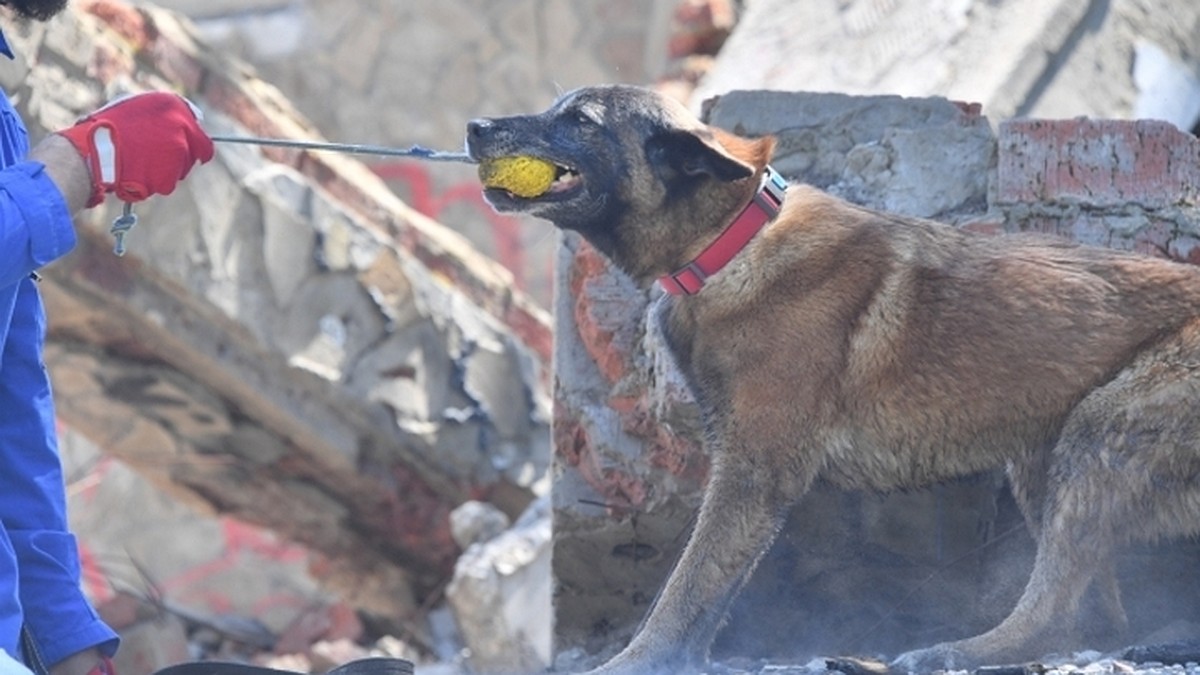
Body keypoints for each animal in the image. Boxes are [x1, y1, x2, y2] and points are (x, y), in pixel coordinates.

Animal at [463, 86, 1200, 667]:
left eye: (580, 118)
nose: (474, 126)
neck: (731, 242)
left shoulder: (753, 473)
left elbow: (689, 584)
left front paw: (638, 659)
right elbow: (710, 593)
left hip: (1097, 435)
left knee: (1057, 604)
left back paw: (959, 651)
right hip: (1042, 455)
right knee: (1093, 614)